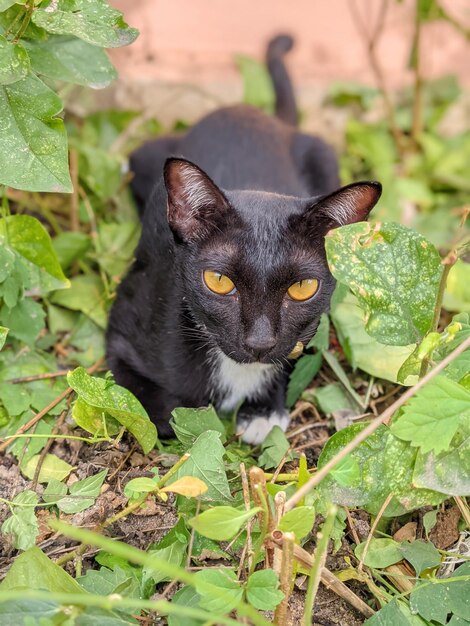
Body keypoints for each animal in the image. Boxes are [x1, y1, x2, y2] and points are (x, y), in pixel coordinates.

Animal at [104, 35, 380, 444]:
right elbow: (160, 412)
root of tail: (252, 112)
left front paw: (263, 410)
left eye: (303, 288)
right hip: (144, 159)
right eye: (218, 281)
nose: (259, 343)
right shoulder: (123, 331)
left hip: (324, 156)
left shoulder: (307, 332)